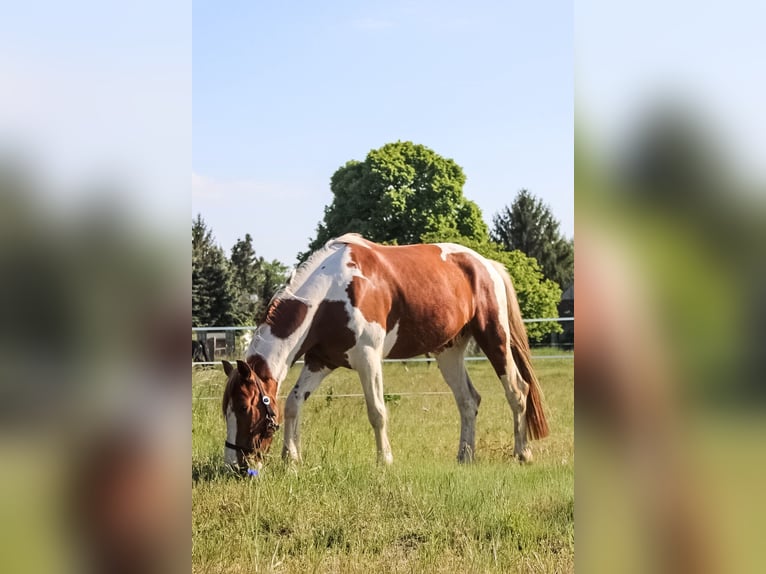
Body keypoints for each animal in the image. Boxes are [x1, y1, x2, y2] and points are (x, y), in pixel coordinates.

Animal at [221, 233, 548, 472]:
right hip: (448, 351)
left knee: (517, 390)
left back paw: (523, 453)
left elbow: (377, 411)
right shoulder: (321, 362)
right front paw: (291, 458)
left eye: (244, 408)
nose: (234, 466)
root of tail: (487, 265)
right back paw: (465, 456)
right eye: (226, 410)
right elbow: (292, 403)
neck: (331, 294)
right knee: (468, 400)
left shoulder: (368, 359)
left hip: (495, 338)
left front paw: (385, 460)